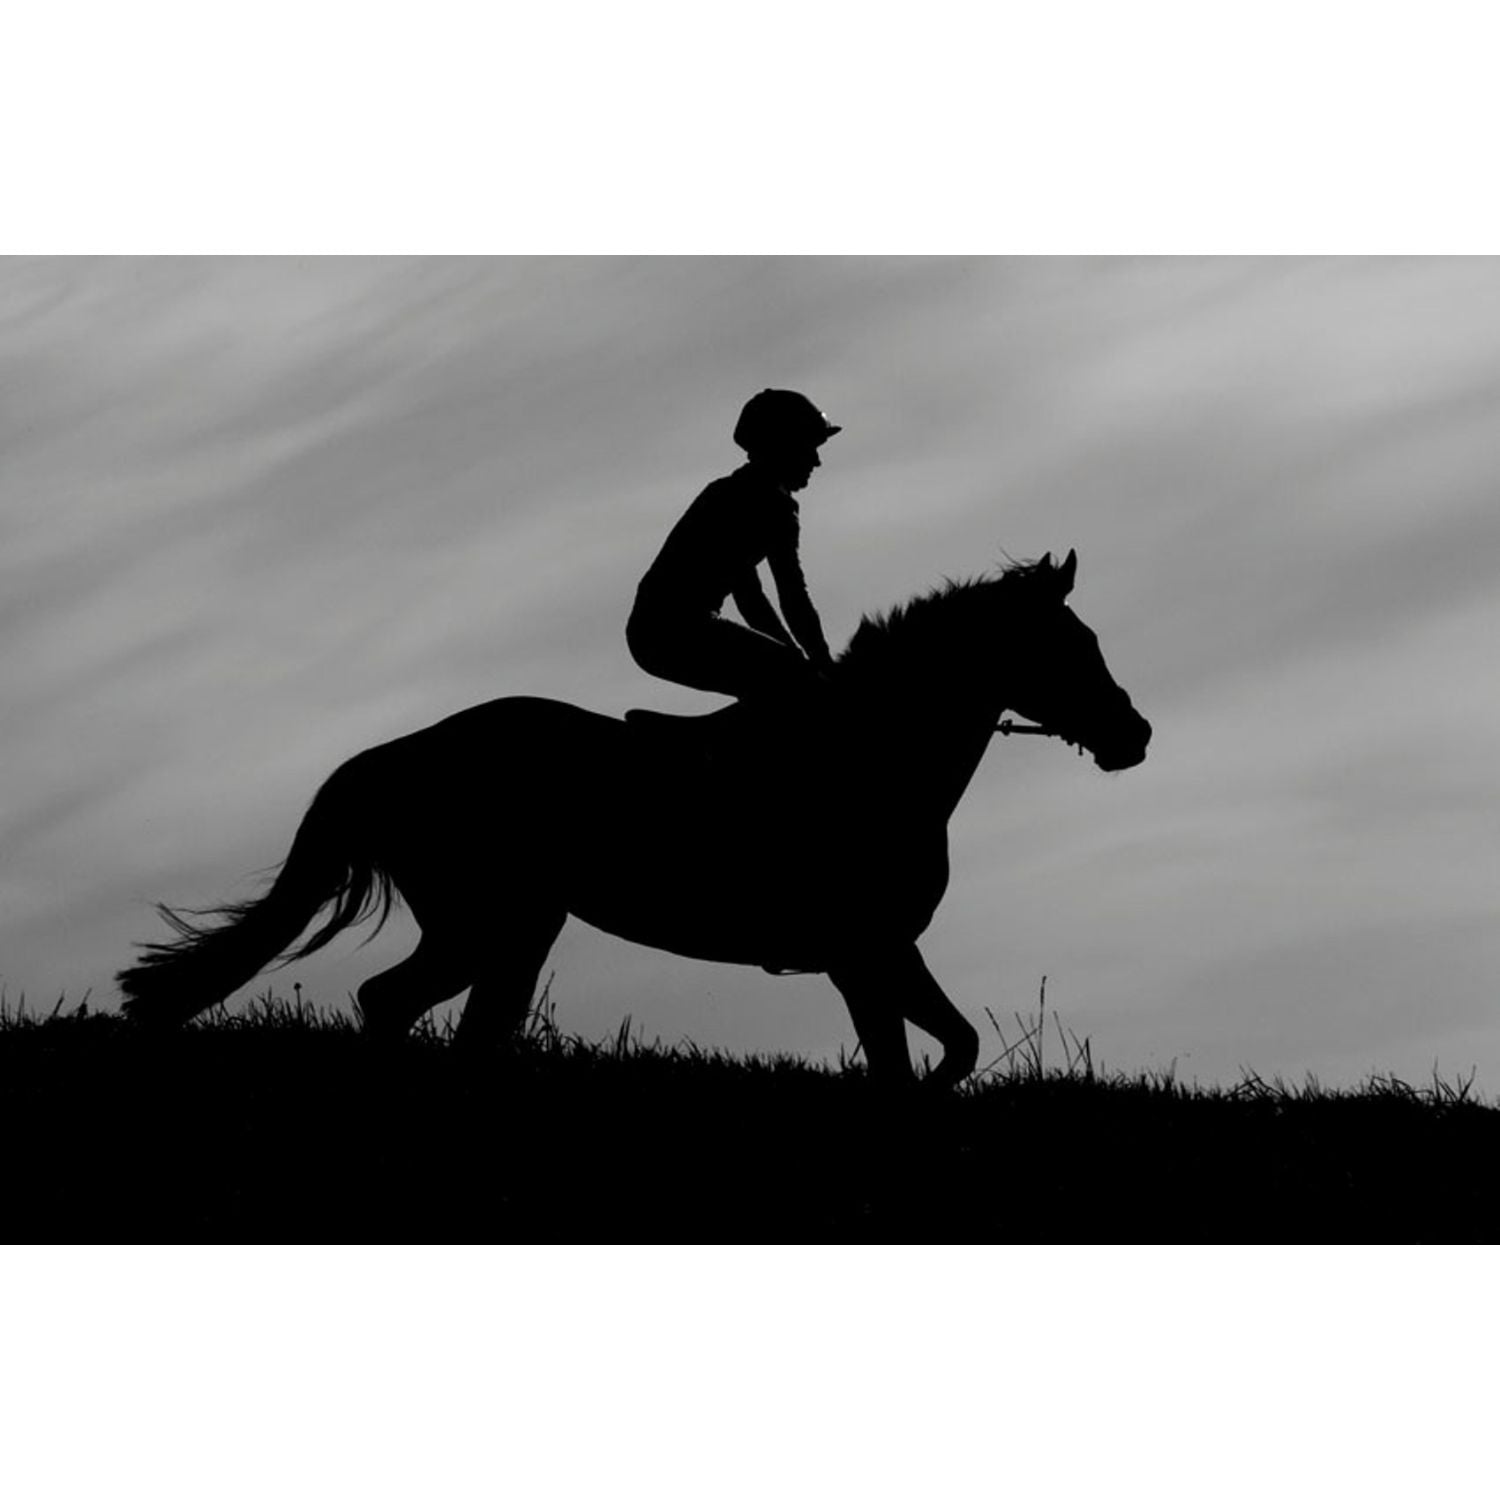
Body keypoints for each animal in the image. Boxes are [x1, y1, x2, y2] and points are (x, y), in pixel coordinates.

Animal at [120, 552, 1146, 1092]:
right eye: (1071, 645)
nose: (1132, 735)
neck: (874, 756)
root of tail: (401, 753)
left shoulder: (873, 954)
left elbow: (932, 1049)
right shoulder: (867, 950)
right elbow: (923, 1056)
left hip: (516, 926)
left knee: (457, 1023)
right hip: (482, 921)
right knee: (396, 1003)